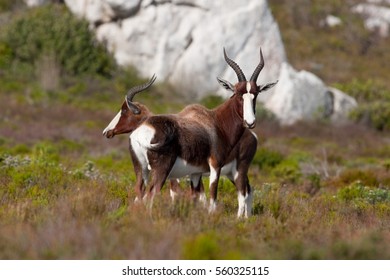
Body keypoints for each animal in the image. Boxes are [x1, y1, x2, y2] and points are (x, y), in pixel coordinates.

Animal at [102, 46, 276, 217]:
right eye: (239, 94)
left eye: (255, 95)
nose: (250, 122)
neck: (215, 122)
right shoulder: (214, 166)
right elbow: (211, 198)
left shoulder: (196, 173)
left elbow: (197, 199)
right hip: (164, 171)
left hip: (143, 169)